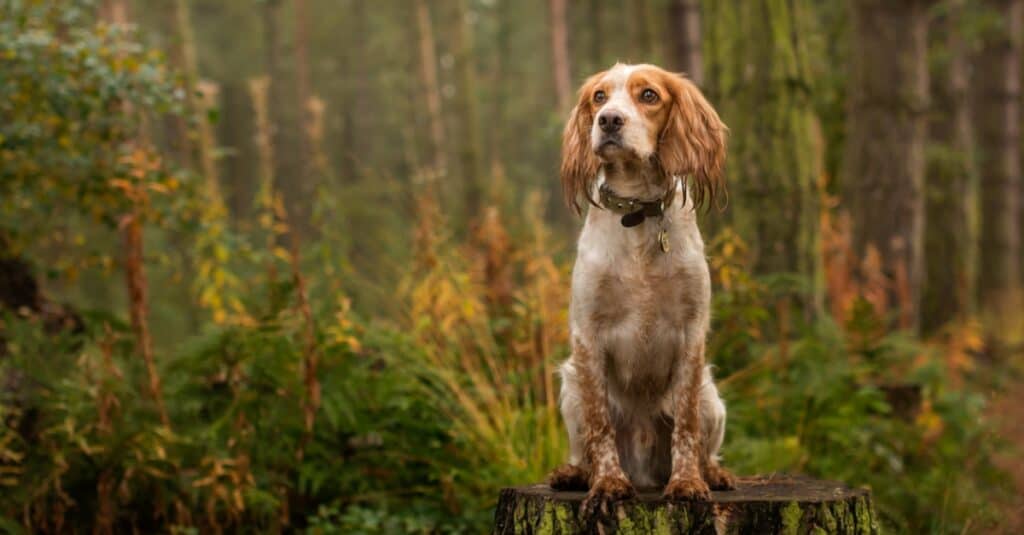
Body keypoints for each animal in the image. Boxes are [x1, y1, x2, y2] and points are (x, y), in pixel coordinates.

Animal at [544, 63, 737, 512]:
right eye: (598, 97)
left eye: (649, 95)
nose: (608, 120)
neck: (637, 212)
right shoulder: (587, 335)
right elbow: (600, 427)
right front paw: (608, 483)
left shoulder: (691, 332)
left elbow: (685, 425)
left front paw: (688, 483)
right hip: (570, 385)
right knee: (585, 446)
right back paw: (575, 473)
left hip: (712, 397)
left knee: (706, 445)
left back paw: (713, 473)